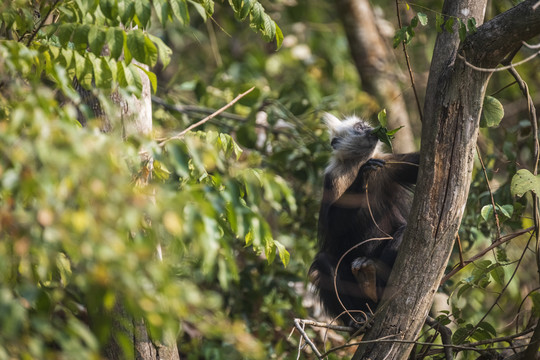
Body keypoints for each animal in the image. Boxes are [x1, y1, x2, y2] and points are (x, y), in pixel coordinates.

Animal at [308, 114, 422, 328]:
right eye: (359, 127)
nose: (371, 129)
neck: (356, 164)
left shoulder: (388, 163)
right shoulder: (332, 179)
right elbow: (333, 228)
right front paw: (363, 176)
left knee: (404, 231)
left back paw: (374, 277)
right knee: (324, 262)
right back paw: (357, 318)